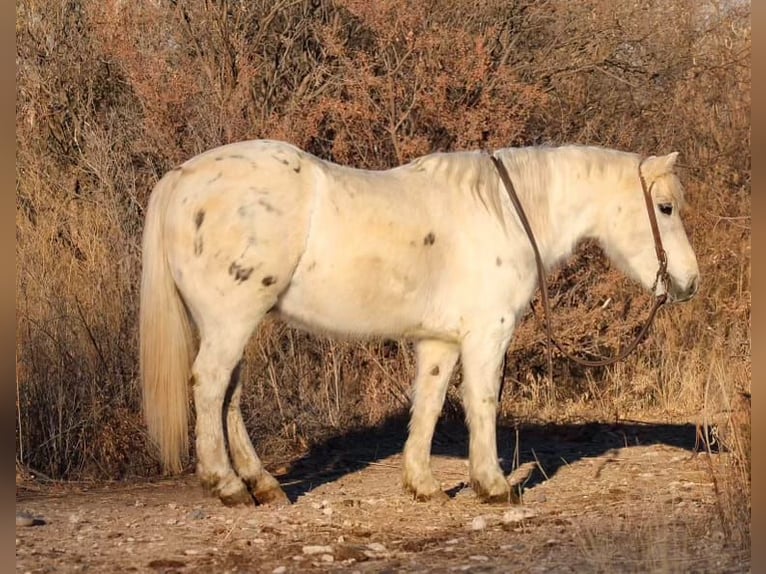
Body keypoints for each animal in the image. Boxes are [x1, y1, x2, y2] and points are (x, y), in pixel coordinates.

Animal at [138, 140, 704, 508]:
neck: (503, 214)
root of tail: (181, 177)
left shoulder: (439, 342)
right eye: (665, 207)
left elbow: (428, 405)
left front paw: (423, 485)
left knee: (229, 395)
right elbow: (482, 403)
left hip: (235, 324)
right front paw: (493, 485)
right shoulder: (487, 335)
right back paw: (227, 485)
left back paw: (262, 485)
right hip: (231, 320)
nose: (689, 281)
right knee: (211, 385)